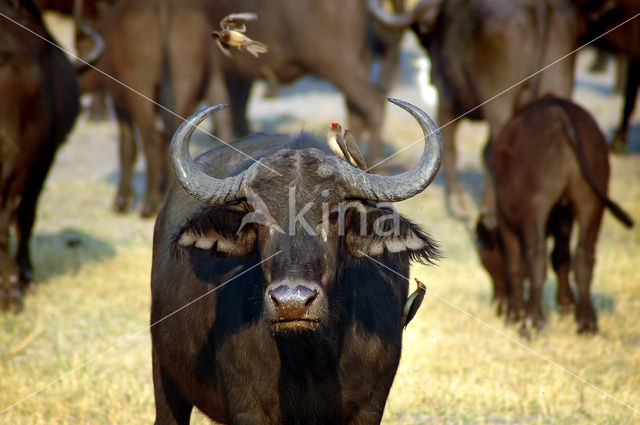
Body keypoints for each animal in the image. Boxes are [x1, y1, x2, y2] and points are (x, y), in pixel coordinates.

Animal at [151, 97, 442, 422]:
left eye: (334, 214)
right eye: (258, 217)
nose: (292, 302)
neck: (311, 357)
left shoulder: (370, 406)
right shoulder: (247, 407)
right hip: (164, 375)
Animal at [476, 95, 632, 334]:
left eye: (485, 259)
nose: (498, 304)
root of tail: (559, 114)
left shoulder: (506, 221)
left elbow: (515, 263)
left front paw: (515, 313)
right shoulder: (564, 218)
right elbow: (560, 256)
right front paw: (566, 305)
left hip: (536, 205)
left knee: (536, 255)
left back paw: (531, 320)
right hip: (592, 202)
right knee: (584, 255)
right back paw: (586, 321)